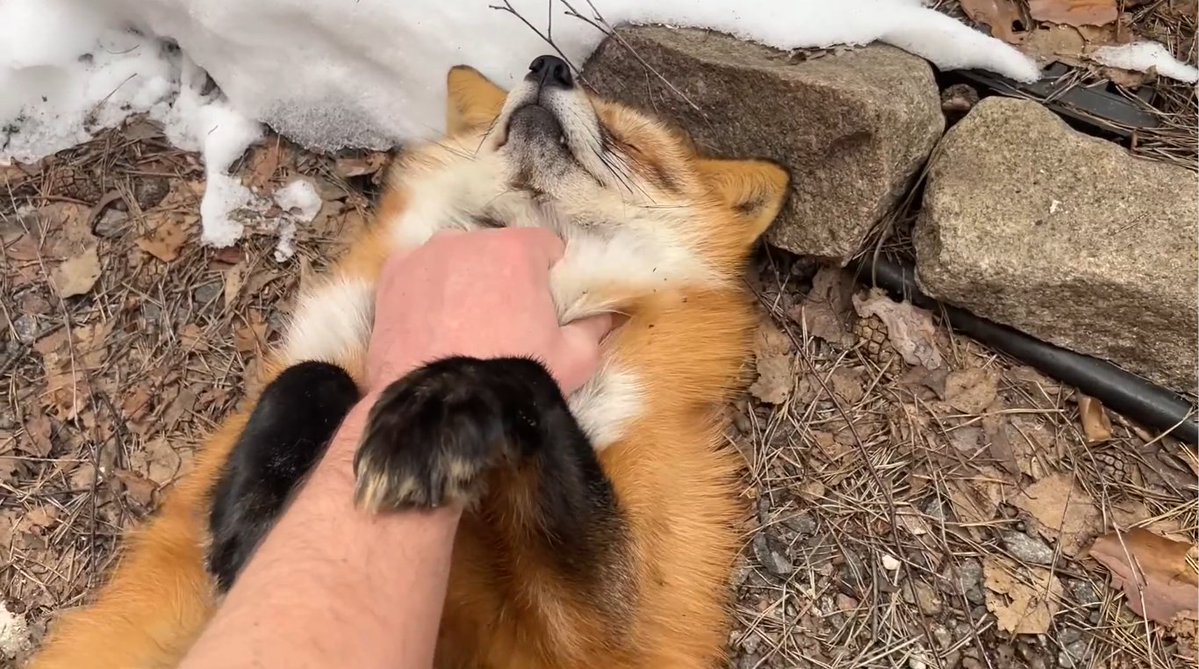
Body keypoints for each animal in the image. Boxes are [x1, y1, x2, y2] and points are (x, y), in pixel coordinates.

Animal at [26, 54, 791, 669]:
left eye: (629, 142)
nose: (549, 65)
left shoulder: (607, 633)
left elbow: (523, 373)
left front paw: (438, 415)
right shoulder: (325, 350)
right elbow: (309, 376)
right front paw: (250, 523)